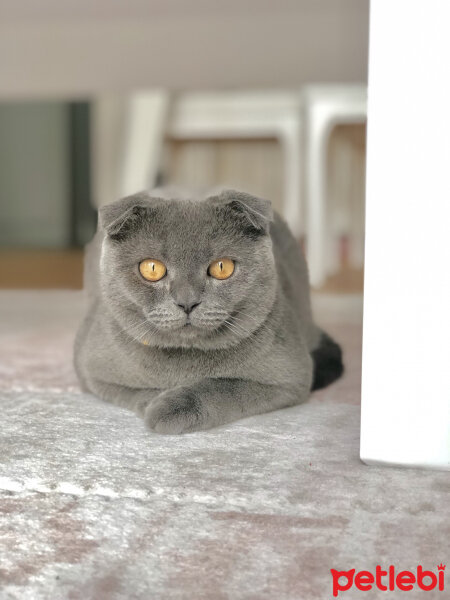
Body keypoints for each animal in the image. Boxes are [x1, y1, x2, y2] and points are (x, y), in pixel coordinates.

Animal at [74, 188, 342, 432]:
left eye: (222, 267)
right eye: (152, 268)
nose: (187, 302)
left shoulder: (292, 375)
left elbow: (226, 387)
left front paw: (171, 408)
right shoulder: (90, 369)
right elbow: (135, 390)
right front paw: (157, 404)